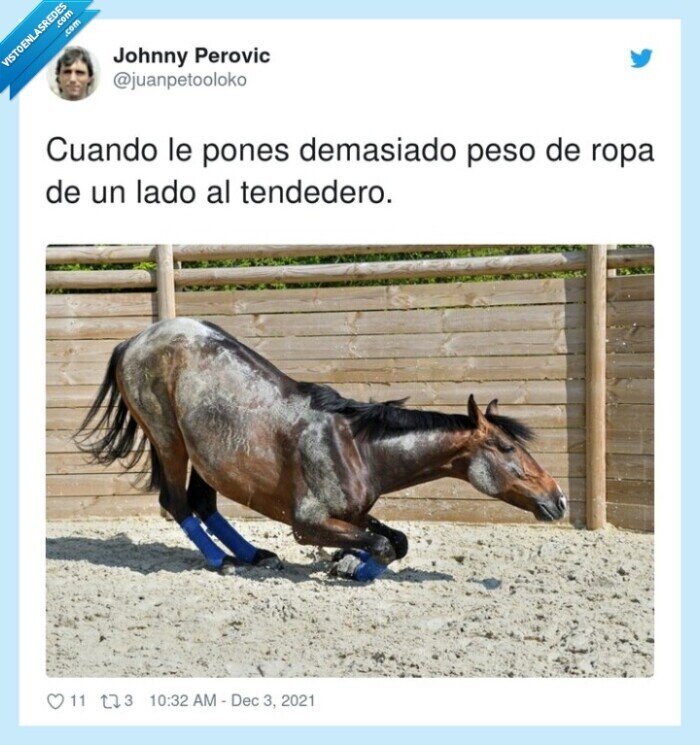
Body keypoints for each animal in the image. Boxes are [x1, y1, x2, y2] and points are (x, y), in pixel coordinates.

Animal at [75, 317, 567, 581]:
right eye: (507, 447)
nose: (558, 498)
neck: (358, 448)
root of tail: (132, 341)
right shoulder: (308, 522)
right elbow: (381, 546)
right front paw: (348, 565)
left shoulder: (353, 513)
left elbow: (397, 541)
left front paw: (348, 560)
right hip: (170, 440)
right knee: (177, 501)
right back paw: (223, 561)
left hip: (206, 454)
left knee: (203, 501)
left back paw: (254, 555)